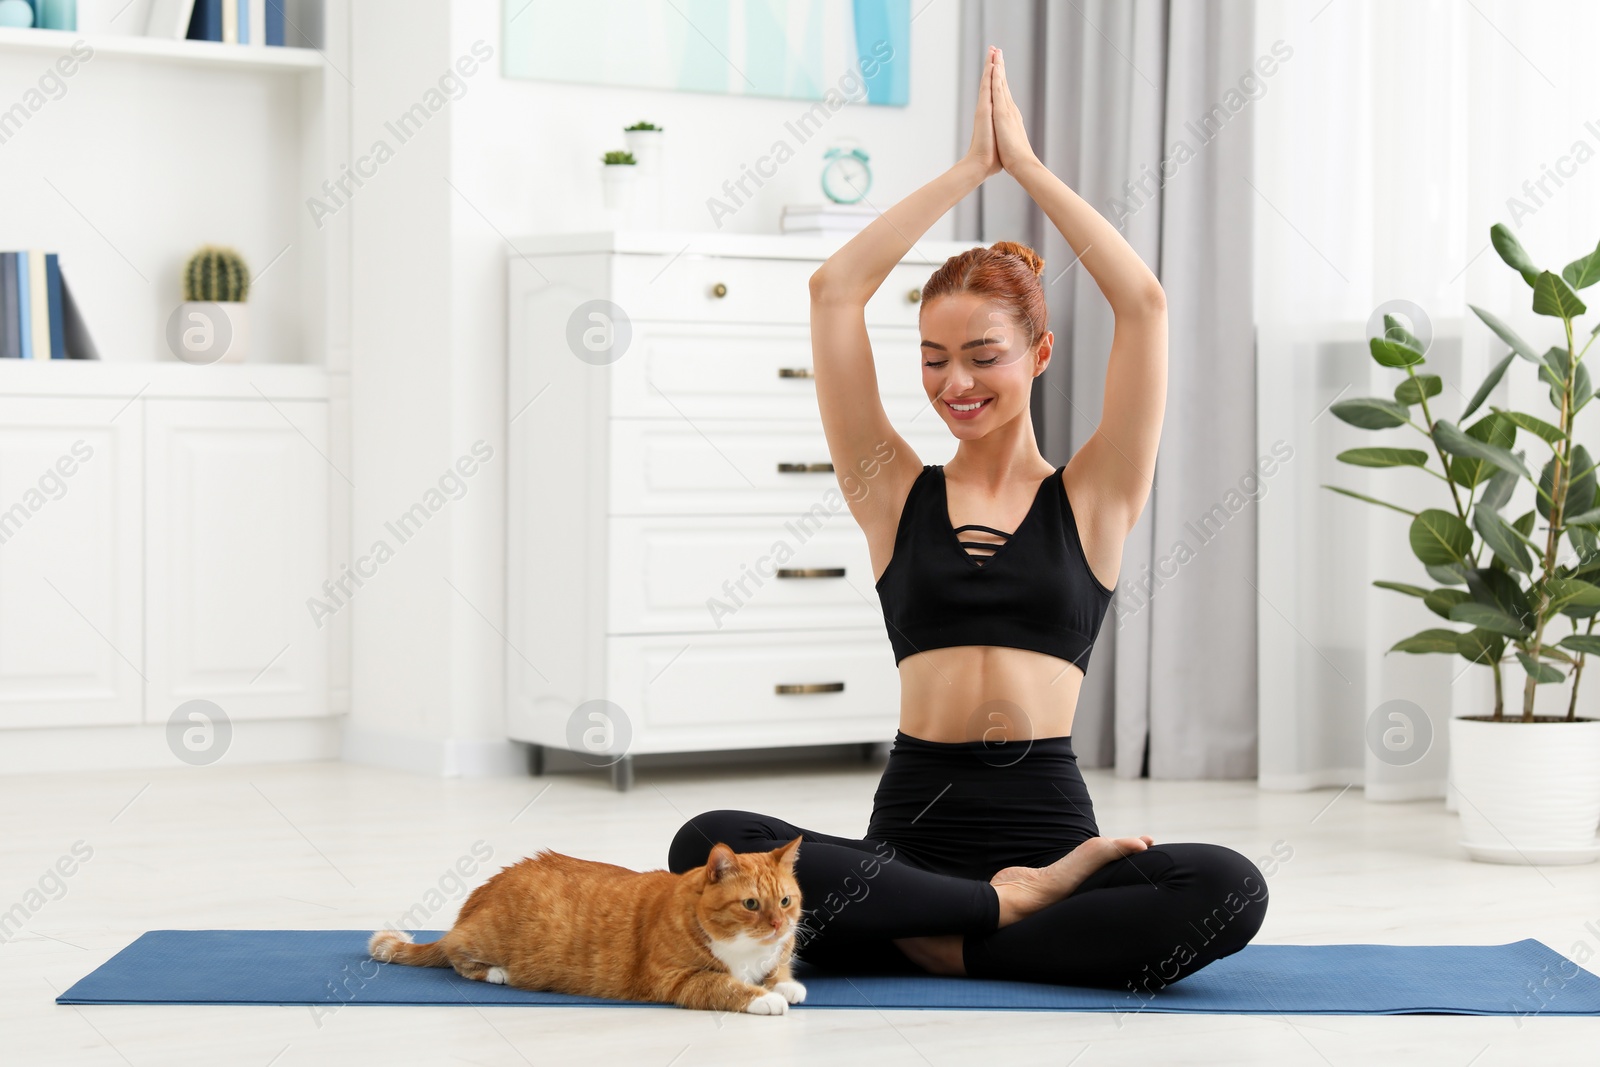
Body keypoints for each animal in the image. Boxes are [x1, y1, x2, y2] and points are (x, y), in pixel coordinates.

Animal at [368, 831, 806, 1017]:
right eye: (751, 904)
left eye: (786, 901)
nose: (778, 925)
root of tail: (485, 889)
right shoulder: (678, 979)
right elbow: (727, 987)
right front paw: (764, 997)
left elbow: (777, 970)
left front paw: (784, 984)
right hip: (480, 938)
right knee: (454, 949)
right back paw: (495, 972)